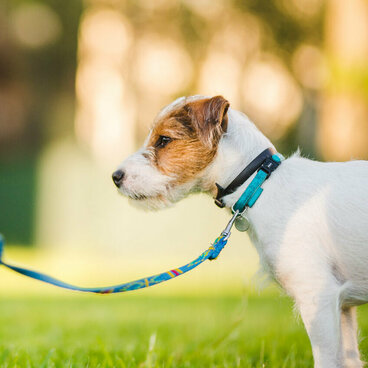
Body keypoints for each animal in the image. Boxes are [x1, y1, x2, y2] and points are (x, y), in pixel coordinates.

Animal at [111, 95, 368, 368]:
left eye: (163, 140)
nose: (115, 176)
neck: (260, 182)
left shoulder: (317, 295)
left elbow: (327, 358)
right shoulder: (342, 306)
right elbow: (349, 358)